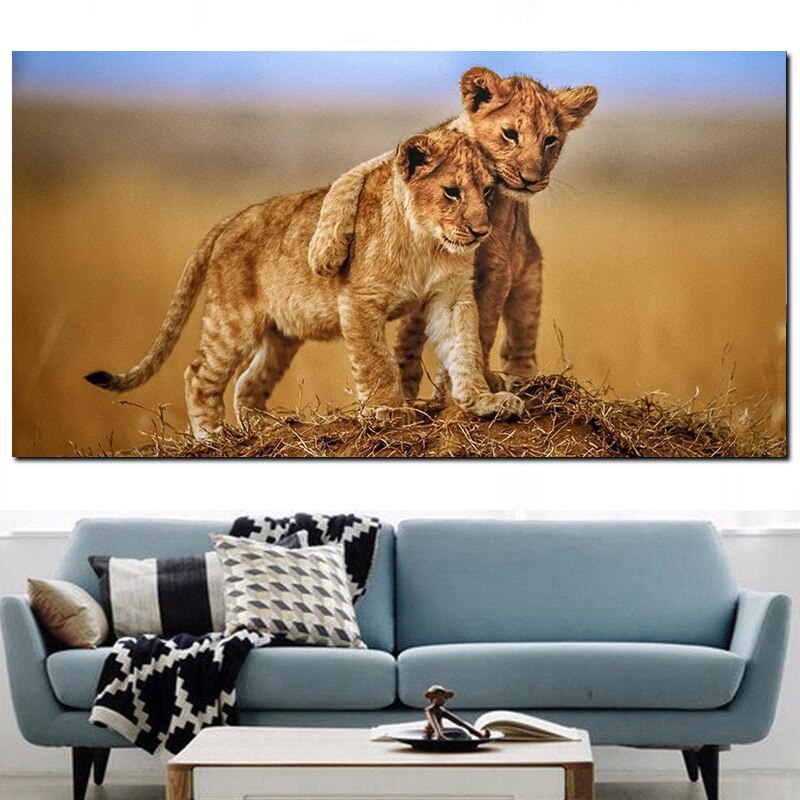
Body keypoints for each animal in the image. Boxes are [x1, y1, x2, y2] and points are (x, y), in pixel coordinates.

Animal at [85, 127, 524, 438]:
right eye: (451, 192)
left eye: (487, 191)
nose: (481, 231)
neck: (426, 243)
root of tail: (232, 218)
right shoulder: (359, 300)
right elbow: (377, 361)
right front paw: (388, 409)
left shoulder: (450, 298)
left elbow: (465, 348)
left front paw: (484, 400)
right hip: (233, 321)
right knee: (198, 375)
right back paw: (212, 437)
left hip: (282, 335)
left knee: (247, 383)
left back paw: (265, 428)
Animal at [302, 67, 598, 398]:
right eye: (510, 134)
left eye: (550, 140)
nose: (531, 179)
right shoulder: (402, 159)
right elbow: (348, 179)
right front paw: (325, 252)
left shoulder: (498, 266)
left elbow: (481, 327)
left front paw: (466, 383)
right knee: (408, 340)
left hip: (529, 281)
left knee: (519, 345)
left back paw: (520, 382)